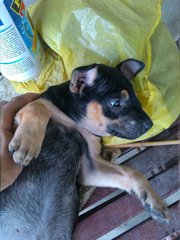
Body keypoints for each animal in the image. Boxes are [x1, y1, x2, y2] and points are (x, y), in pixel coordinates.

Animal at [0, 59, 169, 239]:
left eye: (136, 98)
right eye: (116, 103)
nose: (149, 125)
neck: (74, 122)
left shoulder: (90, 168)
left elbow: (132, 173)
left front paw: (154, 201)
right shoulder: (19, 116)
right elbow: (38, 107)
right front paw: (27, 144)